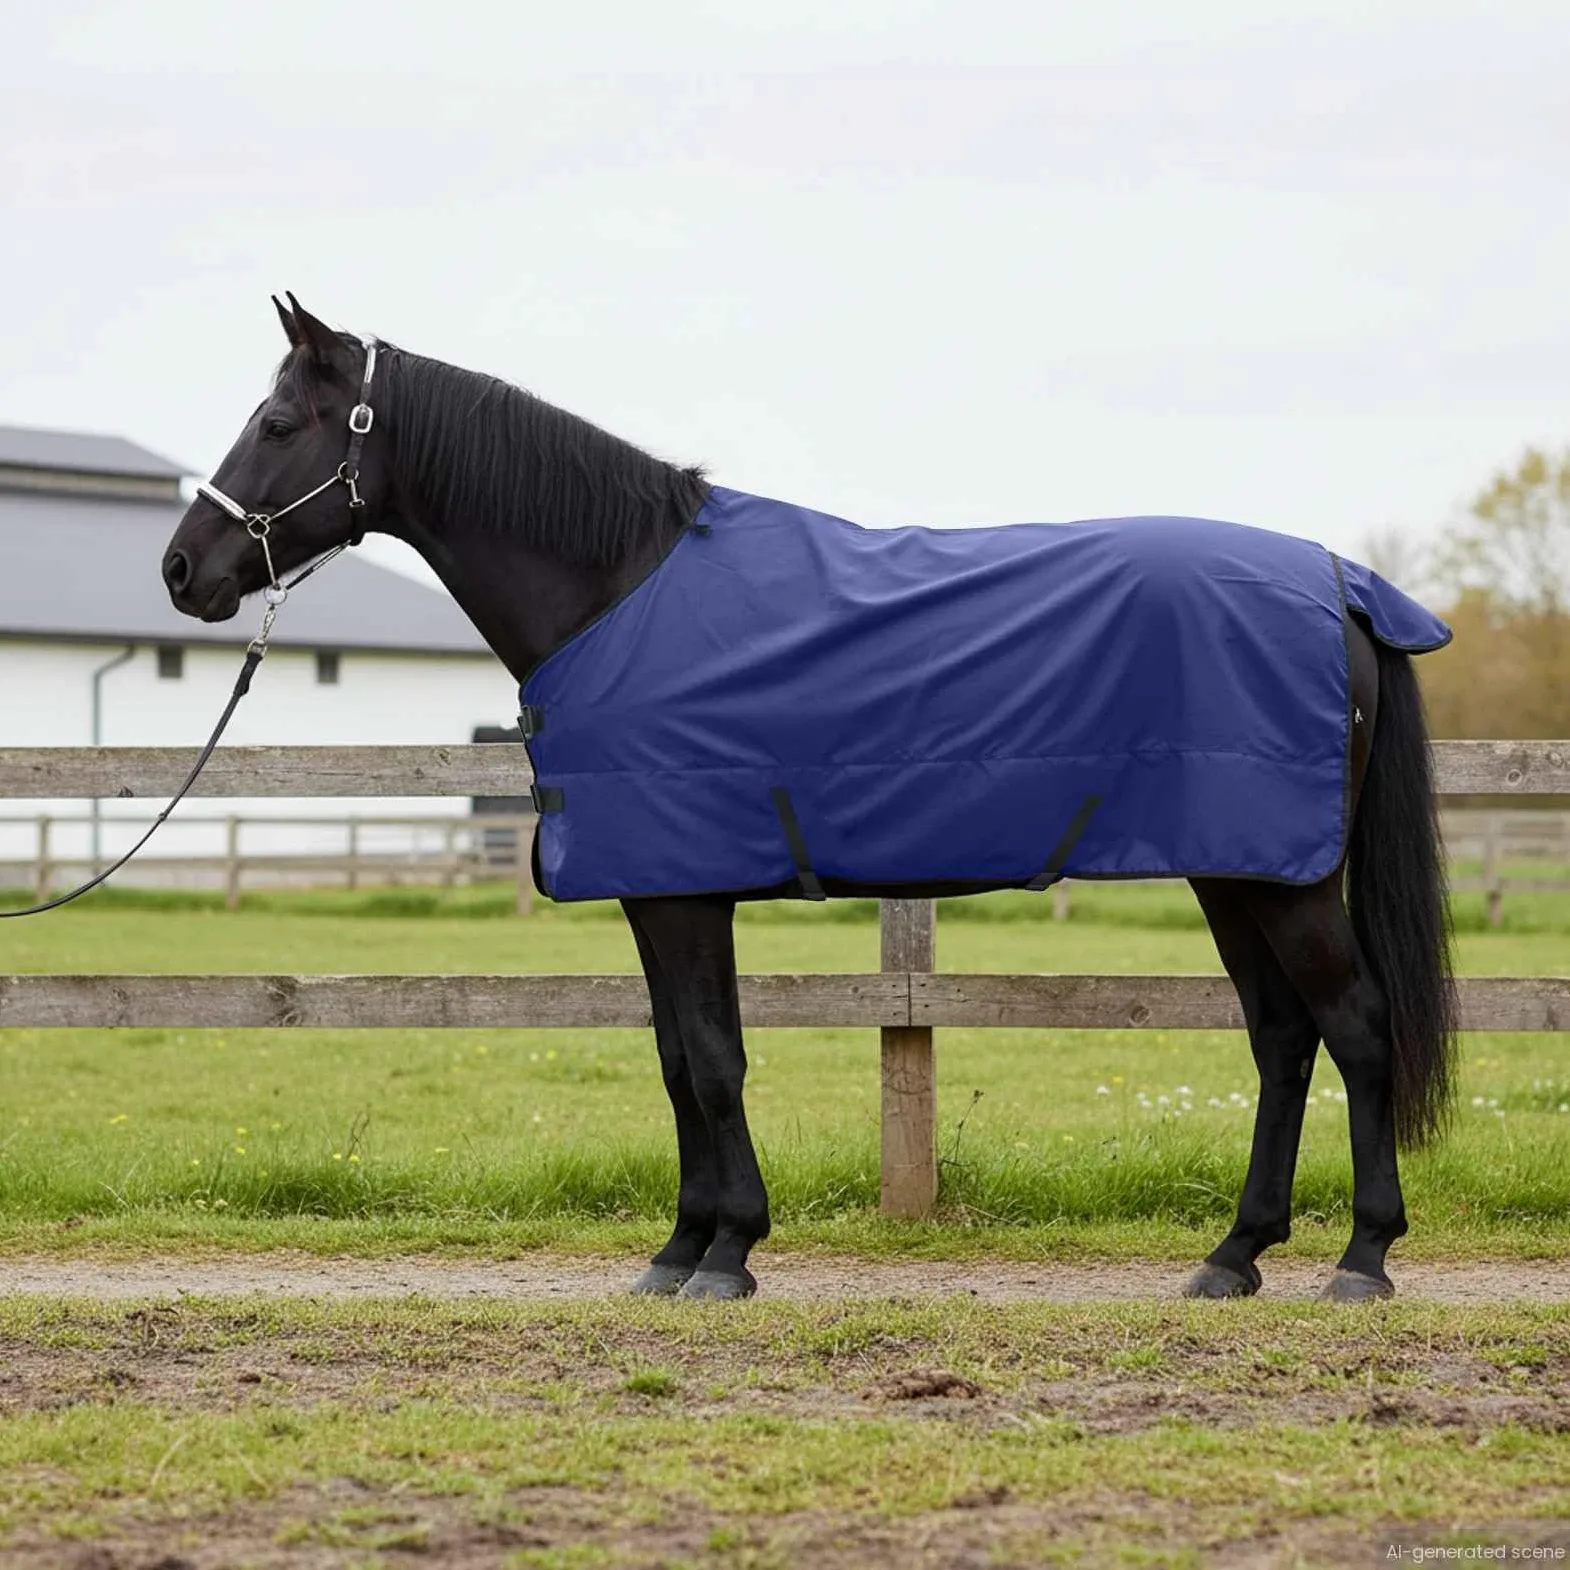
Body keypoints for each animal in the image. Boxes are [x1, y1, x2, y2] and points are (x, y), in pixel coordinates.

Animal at [161, 295, 1456, 1304]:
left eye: (277, 424)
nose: (183, 570)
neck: (615, 588)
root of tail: (1340, 585)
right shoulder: (664, 890)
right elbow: (679, 1058)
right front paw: (683, 1246)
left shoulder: (682, 892)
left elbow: (711, 1061)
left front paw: (725, 1251)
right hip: (1236, 870)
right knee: (1282, 1038)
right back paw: (1234, 1255)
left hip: (1282, 880)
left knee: (1356, 1027)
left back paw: (1361, 1258)